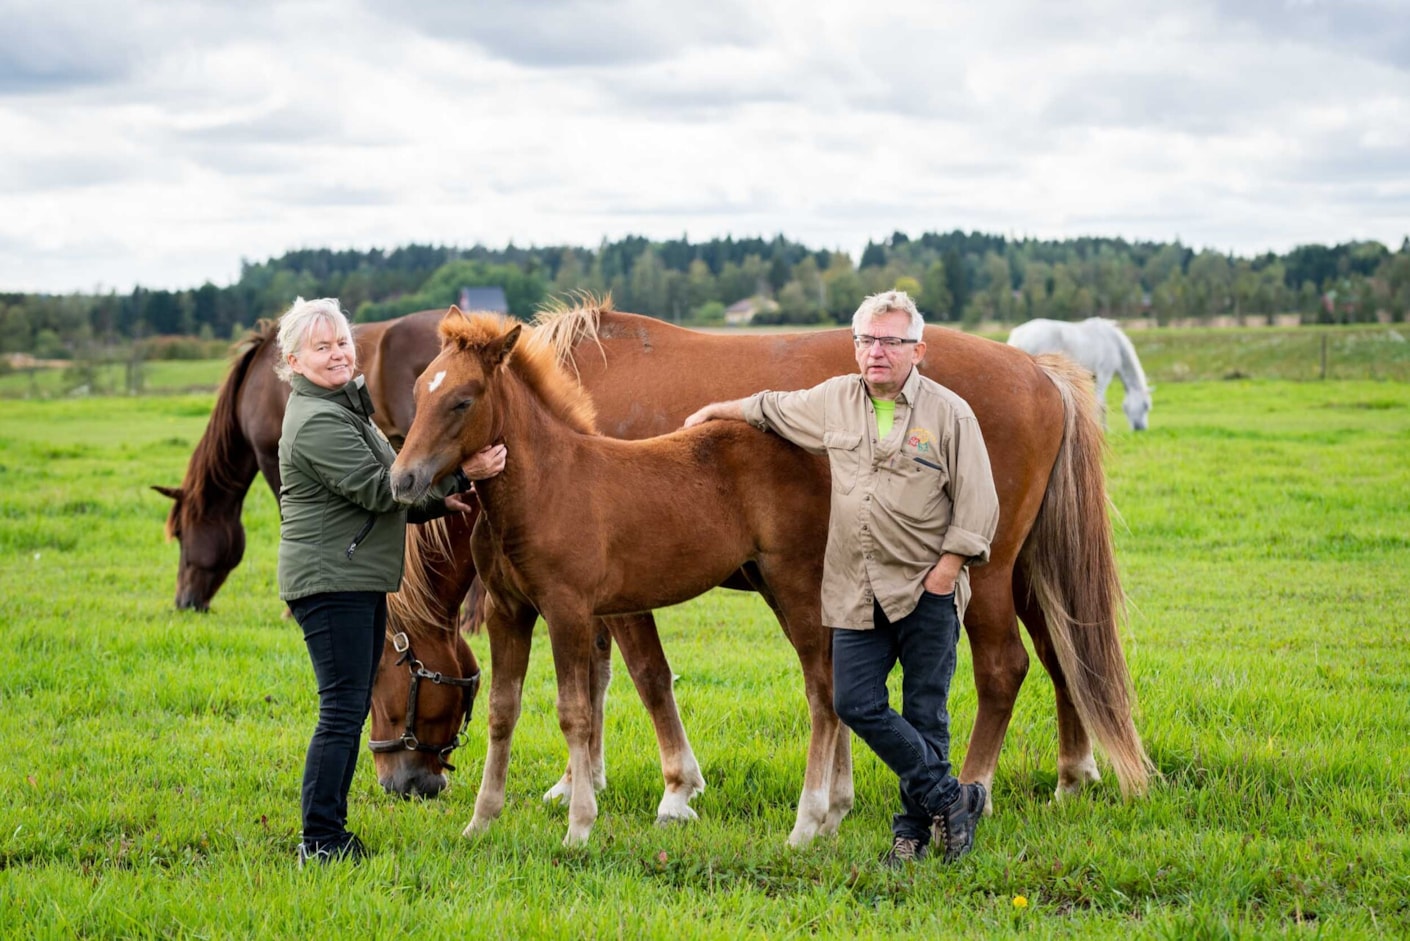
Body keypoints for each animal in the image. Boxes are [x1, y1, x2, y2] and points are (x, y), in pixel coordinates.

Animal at [1009, 318, 1150, 431]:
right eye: (1146, 406)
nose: (1141, 428)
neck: (1114, 342)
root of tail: (1018, 334)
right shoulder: (1104, 375)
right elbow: (1100, 403)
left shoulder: (1094, 377)